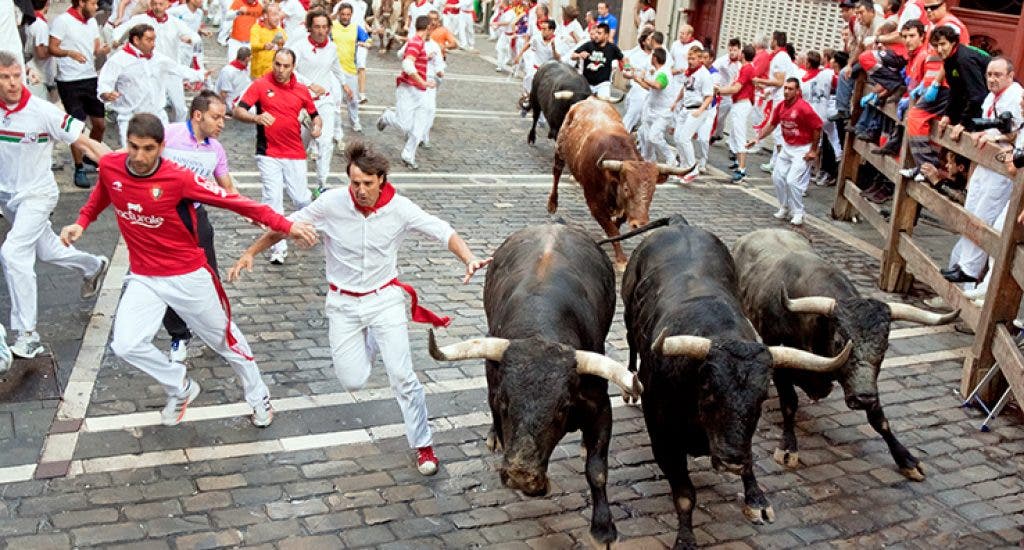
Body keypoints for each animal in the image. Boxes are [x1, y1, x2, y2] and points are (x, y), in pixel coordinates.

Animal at [430, 224, 638, 548]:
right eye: (504, 402)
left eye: (563, 407)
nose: (521, 475)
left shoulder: (601, 406)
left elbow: (597, 470)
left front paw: (603, 529)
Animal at [548, 99, 692, 272]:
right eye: (626, 188)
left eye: (653, 191)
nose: (640, 224)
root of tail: (590, 100)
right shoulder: (594, 203)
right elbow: (613, 230)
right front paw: (622, 260)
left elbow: (618, 223)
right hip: (560, 150)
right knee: (556, 173)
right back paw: (552, 204)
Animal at [618, 216, 851, 544]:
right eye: (708, 390)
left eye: (761, 397)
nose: (730, 459)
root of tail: (679, 224)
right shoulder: (662, 439)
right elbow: (685, 494)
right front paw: (686, 538)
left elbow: (750, 458)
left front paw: (756, 499)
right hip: (627, 313)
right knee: (630, 342)